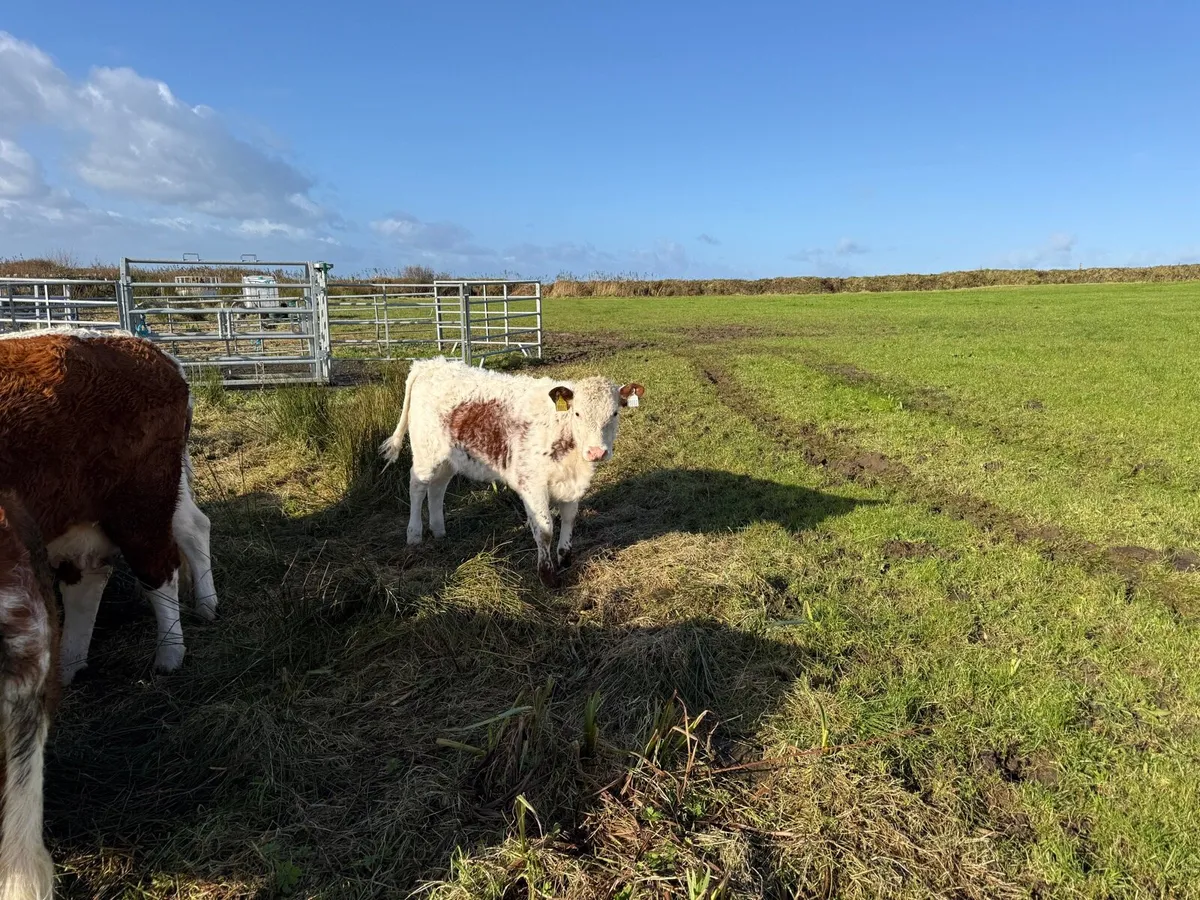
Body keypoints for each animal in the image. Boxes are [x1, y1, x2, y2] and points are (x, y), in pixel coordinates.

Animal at [379, 357, 644, 587]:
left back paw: (439, 531)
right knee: (417, 487)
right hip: (426, 452)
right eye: (577, 413)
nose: (596, 452)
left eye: (615, 413)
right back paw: (414, 535)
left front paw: (565, 559)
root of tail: (430, 364)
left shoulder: (570, 484)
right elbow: (545, 529)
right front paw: (547, 576)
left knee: (437, 488)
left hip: (449, 458)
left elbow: (569, 519)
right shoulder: (532, 485)